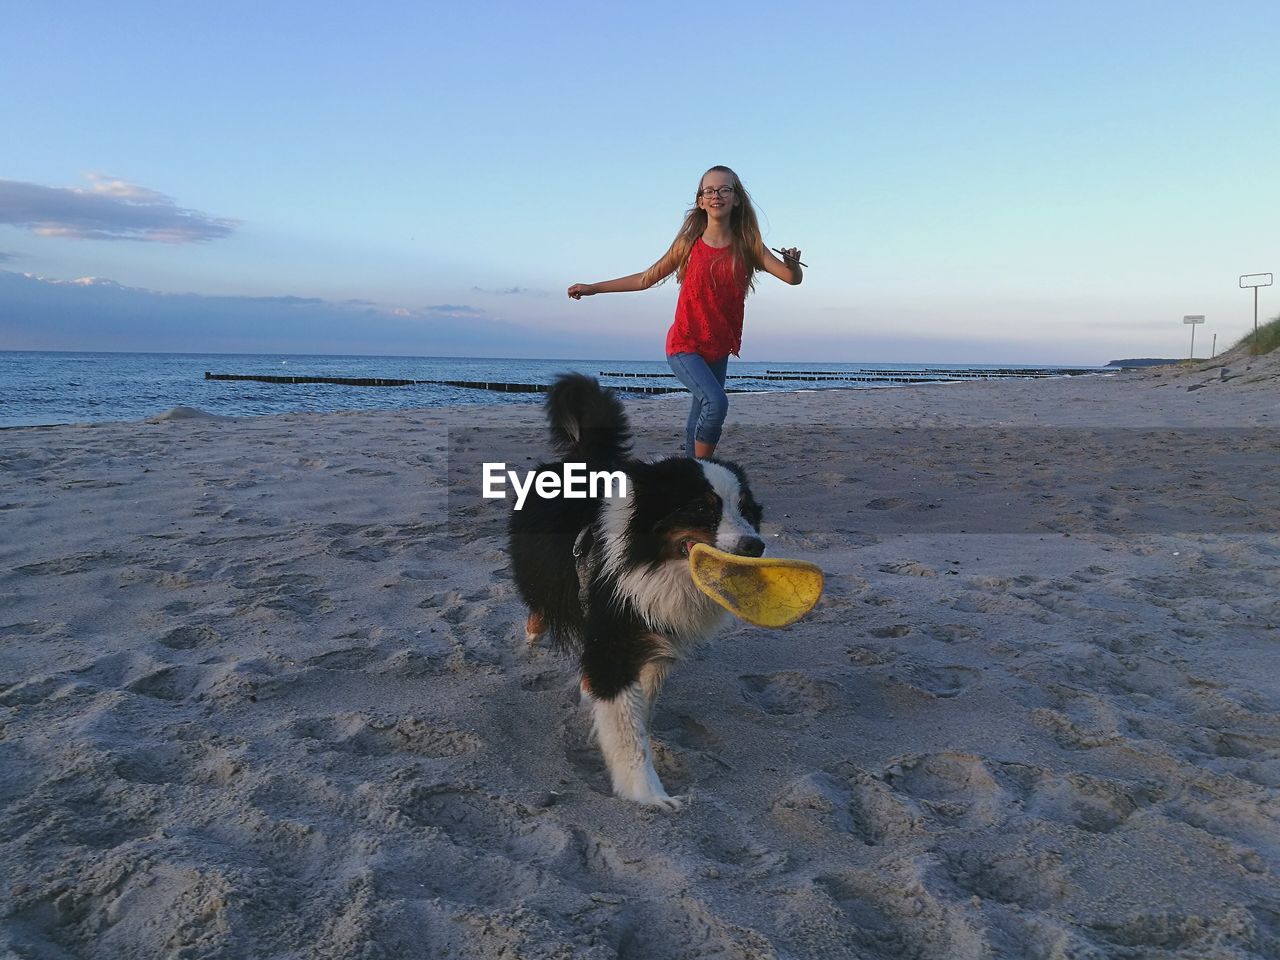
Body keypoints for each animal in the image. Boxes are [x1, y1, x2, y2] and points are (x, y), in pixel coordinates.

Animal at [509, 376, 762, 814]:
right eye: (700, 508)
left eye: (746, 509)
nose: (755, 546)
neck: (653, 562)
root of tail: (583, 457)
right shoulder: (612, 640)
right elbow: (628, 734)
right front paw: (650, 794)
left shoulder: (654, 633)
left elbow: (641, 708)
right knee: (538, 608)